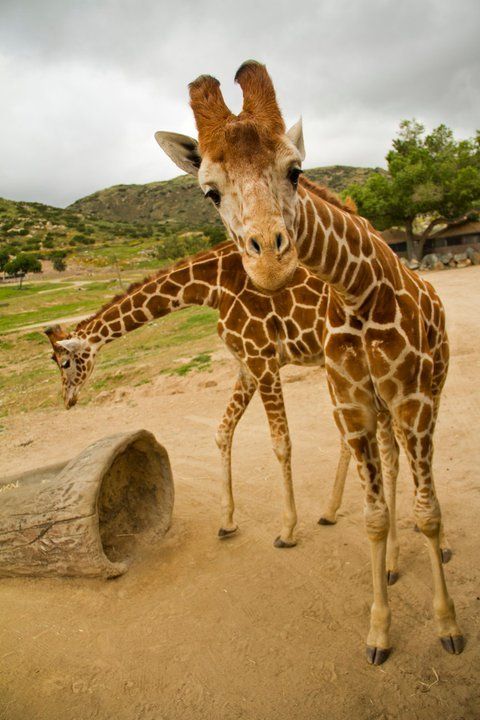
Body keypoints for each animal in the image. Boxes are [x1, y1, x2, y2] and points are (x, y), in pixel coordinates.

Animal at [46, 239, 352, 548]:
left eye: (64, 362)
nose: (67, 400)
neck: (213, 286)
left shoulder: (262, 358)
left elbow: (281, 443)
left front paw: (287, 531)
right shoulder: (246, 365)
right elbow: (223, 431)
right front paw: (227, 523)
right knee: (348, 431)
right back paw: (329, 512)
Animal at [156, 60, 464, 664]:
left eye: (295, 170)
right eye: (209, 192)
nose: (270, 263)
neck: (360, 291)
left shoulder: (412, 400)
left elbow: (429, 511)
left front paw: (447, 627)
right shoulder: (355, 404)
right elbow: (373, 517)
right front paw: (378, 632)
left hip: (430, 394)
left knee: (419, 481)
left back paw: (429, 555)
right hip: (383, 410)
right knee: (393, 466)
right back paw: (396, 563)